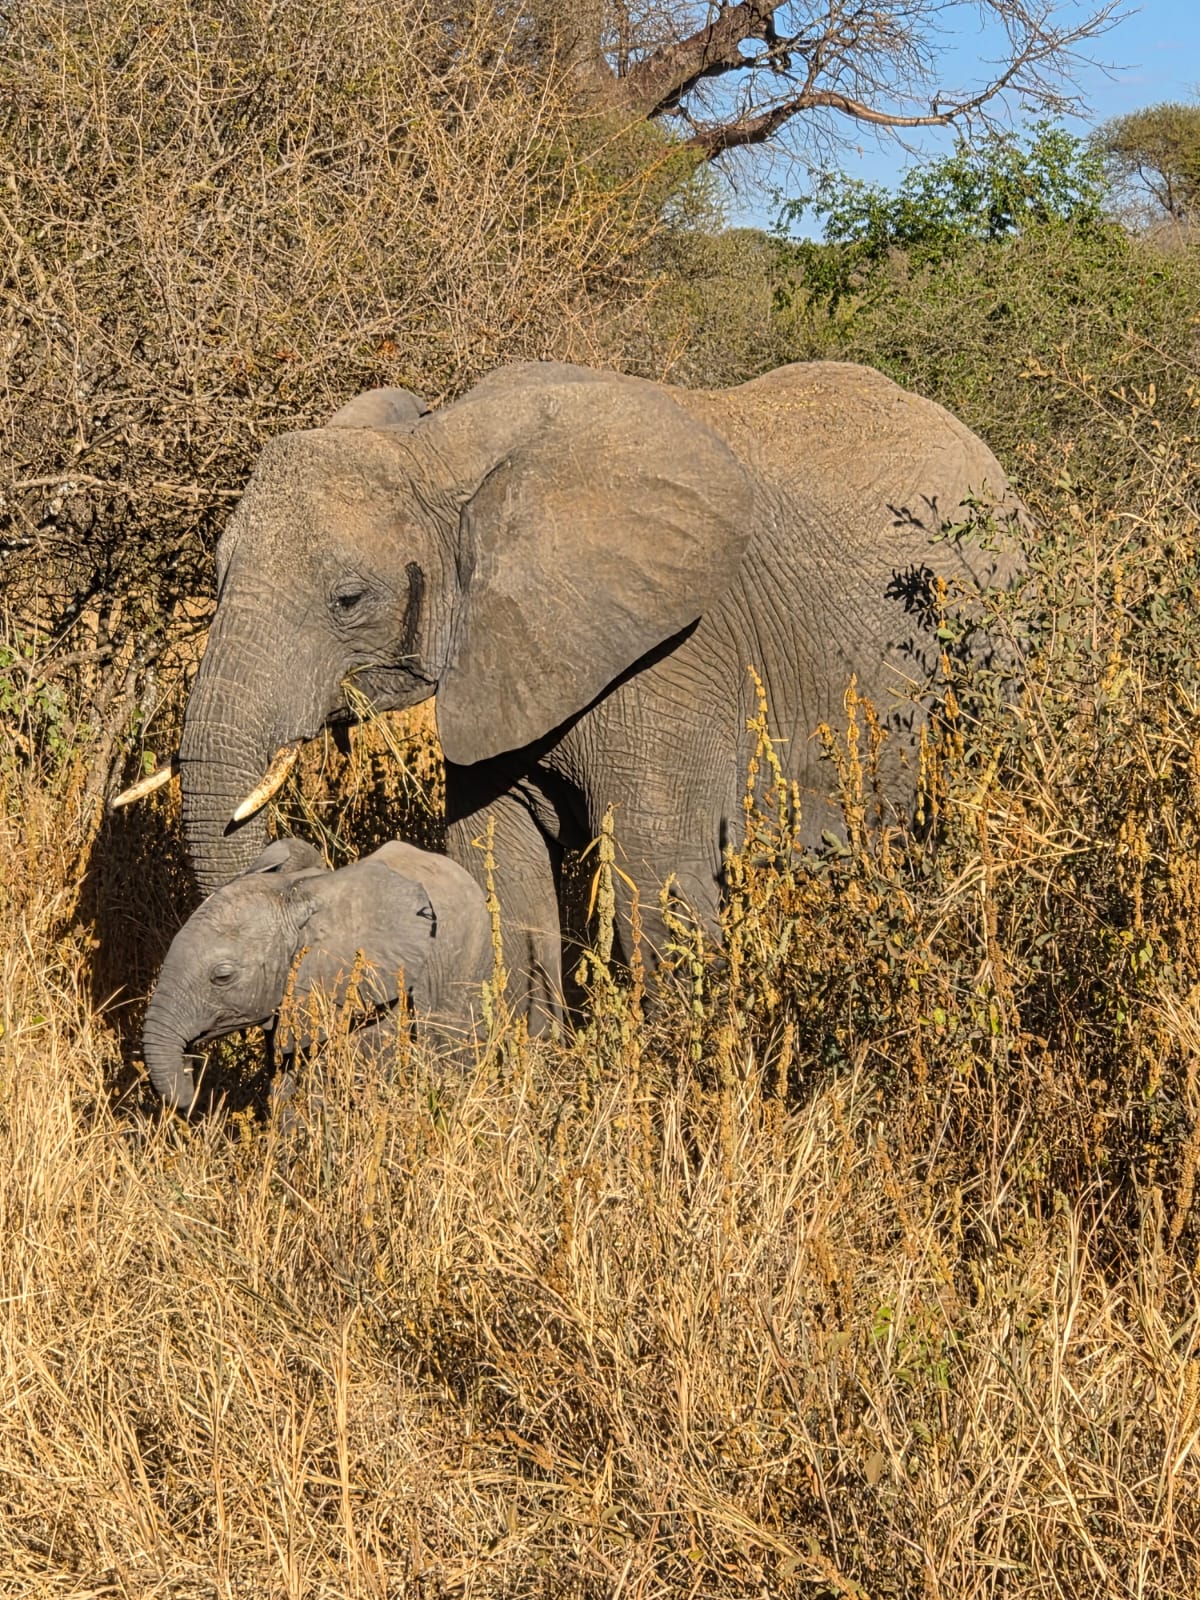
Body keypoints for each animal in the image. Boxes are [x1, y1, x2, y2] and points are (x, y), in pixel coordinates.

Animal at [165, 359, 1025, 1028]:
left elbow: (658, 880)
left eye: (348, 599)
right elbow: (497, 868)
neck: (442, 450)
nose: (290, 859)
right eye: (214, 575)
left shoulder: (667, 659)